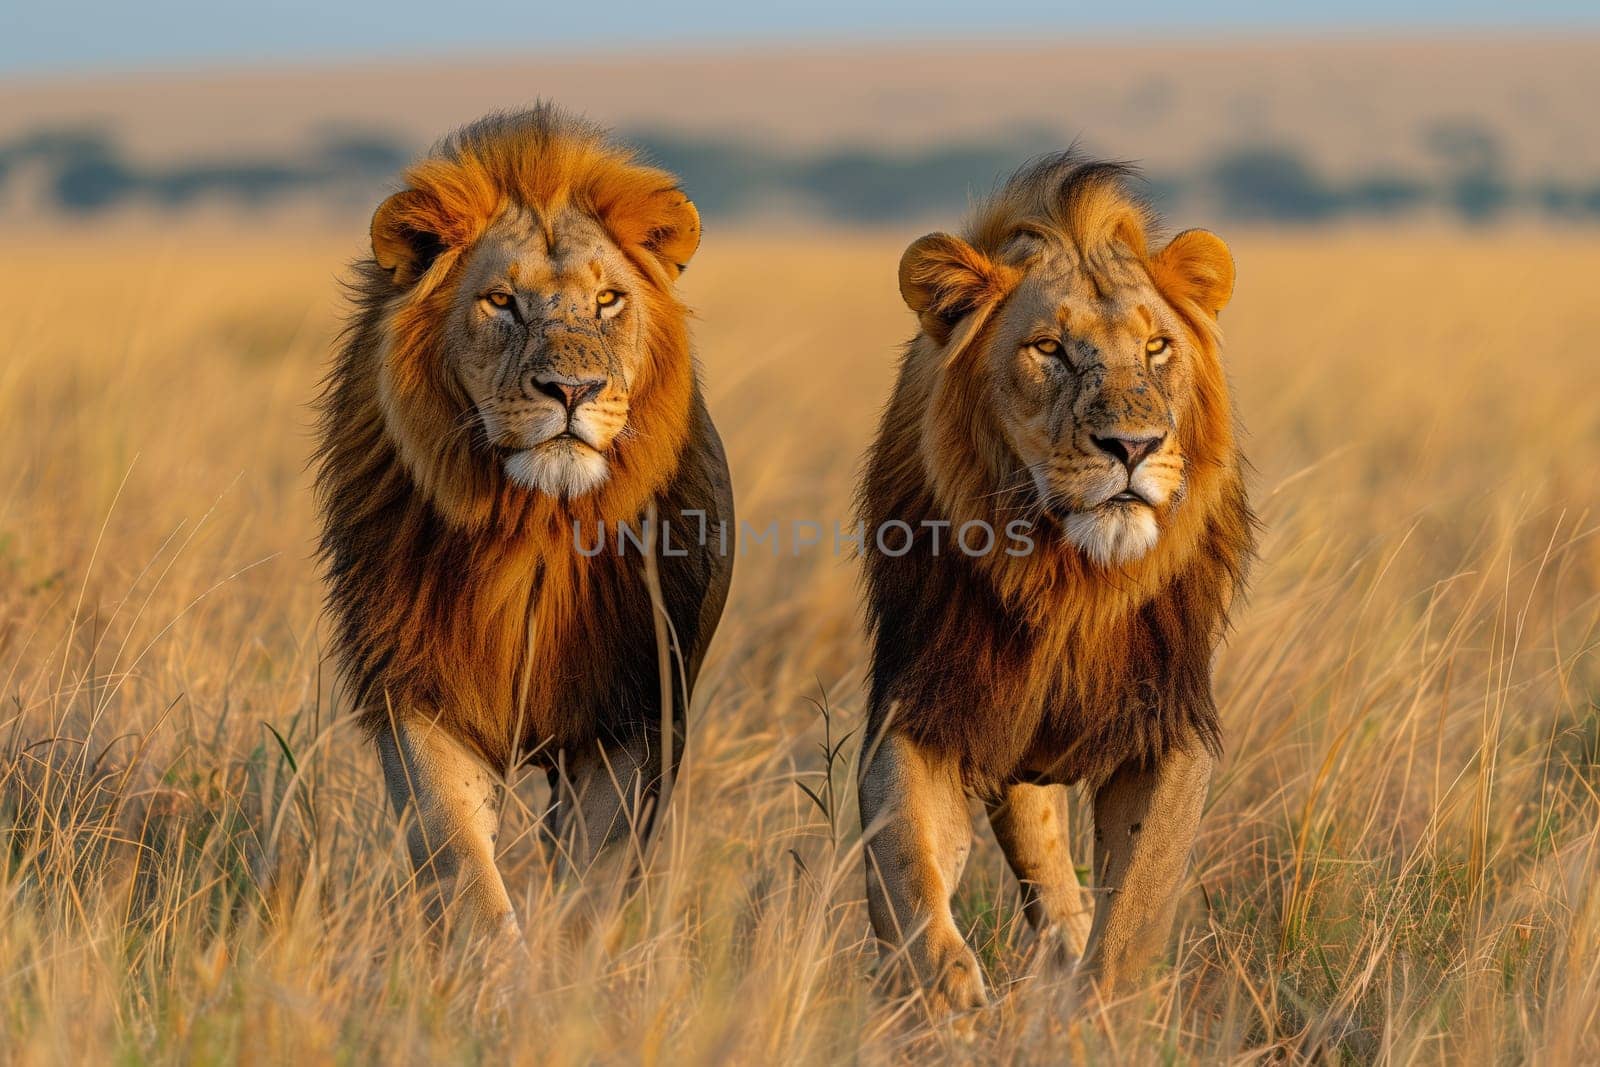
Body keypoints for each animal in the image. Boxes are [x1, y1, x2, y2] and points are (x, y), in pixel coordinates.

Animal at [313, 106, 736, 940]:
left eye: (608, 301)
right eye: (502, 301)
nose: (572, 389)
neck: (535, 525)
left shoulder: (629, 723)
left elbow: (594, 883)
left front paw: (575, 966)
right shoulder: (420, 694)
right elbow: (461, 863)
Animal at [857, 151, 1254, 1017]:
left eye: (1158, 347)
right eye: (1050, 349)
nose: (1133, 446)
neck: (1068, 579)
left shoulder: (1166, 717)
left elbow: (1135, 905)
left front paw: (1096, 1016)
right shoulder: (931, 702)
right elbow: (905, 863)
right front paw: (949, 1001)